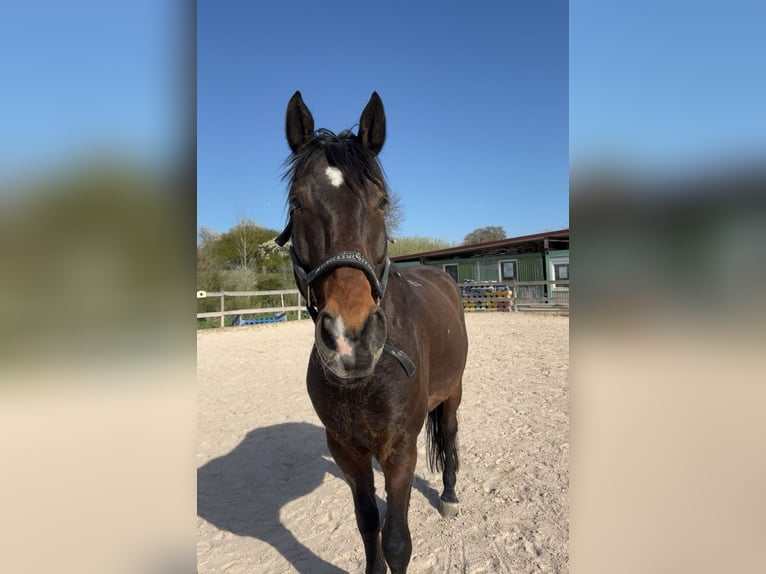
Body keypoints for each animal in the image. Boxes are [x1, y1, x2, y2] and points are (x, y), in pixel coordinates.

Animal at [275, 91, 468, 574]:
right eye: (297, 203)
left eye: (382, 202)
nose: (350, 337)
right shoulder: (348, 452)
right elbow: (368, 524)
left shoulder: (401, 450)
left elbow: (397, 541)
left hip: (453, 391)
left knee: (450, 434)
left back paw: (450, 494)